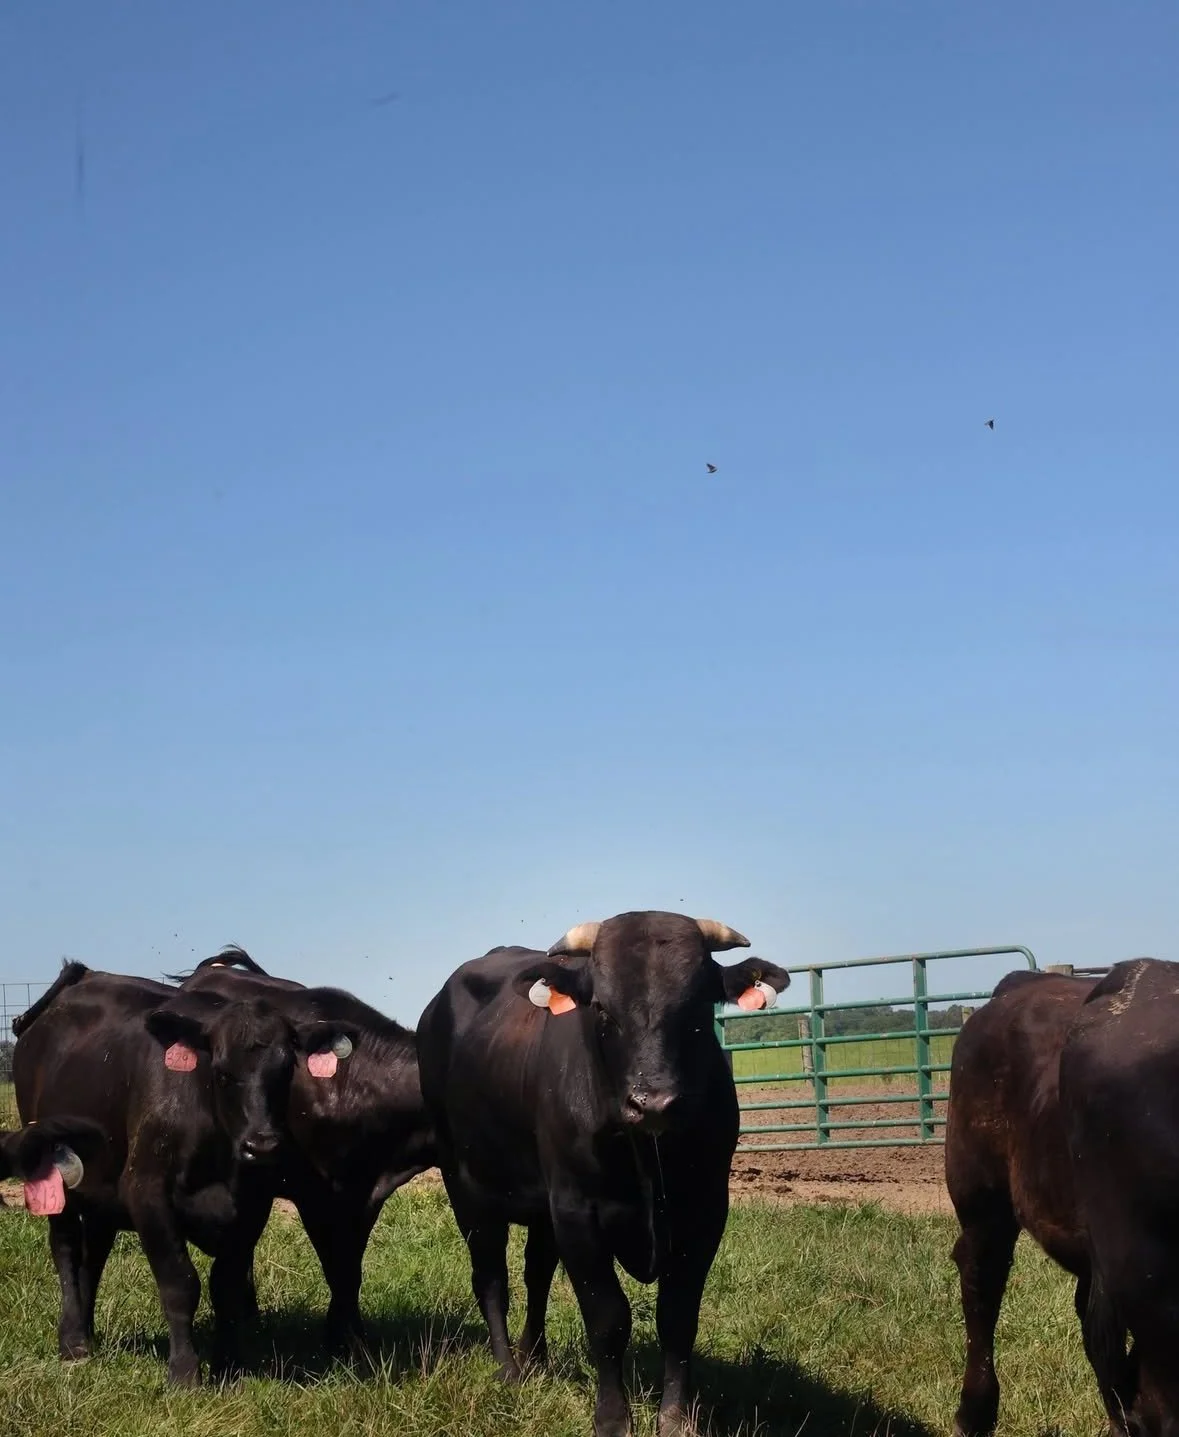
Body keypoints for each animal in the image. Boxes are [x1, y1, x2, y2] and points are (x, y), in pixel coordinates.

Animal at [12, 959, 358, 1384]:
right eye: (222, 1072)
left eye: (286, 1070)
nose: (261, 1145)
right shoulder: (147, 1193)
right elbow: (180, 1283)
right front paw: (184, 1371)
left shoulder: (252, 1205)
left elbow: (226, 1286)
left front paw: (229, 1365)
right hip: (55, 1175)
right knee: (65, 1249)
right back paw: (73, 1340)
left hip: (100, 1188)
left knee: (94, 1254)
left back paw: (89, 1332)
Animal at [173, 946, 436, 1348]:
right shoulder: (316, 1193)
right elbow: (338, 1268)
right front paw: (344, 1340)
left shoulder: (364, 1193)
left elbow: (351, 1267)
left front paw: (350, 1333)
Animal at [416, 911, 789, 1437]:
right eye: (603, 1011)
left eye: (697, 1009)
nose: (652, 1103)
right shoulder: (578, 1213)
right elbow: (608, 1317)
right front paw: (612, 1418)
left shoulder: (705, 1211)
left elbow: (678, 1316)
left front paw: (676, 1417)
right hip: (466, 1187)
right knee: (490, 1278)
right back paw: (508, 1369)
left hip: (541, 1208)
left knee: (536, 1274)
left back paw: (536, 1358)